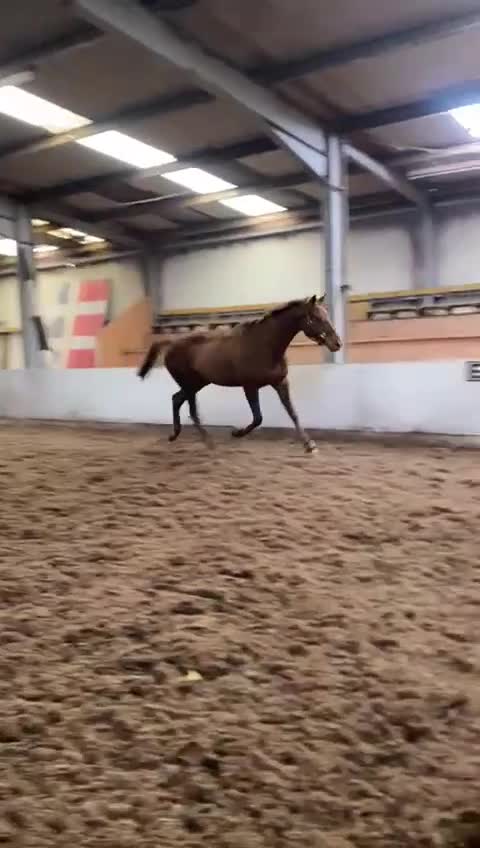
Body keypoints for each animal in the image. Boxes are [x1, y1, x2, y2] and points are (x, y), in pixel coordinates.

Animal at [137, 295, 342, 452]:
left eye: (326, 314)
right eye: (315, 317)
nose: (337, 343)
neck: (265, 346)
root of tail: (170, 343)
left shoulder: (281, 382)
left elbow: (293, 413)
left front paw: (309, 445)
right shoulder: (249, 386)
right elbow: (258, 418)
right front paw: (236, 433)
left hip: (197, 384)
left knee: (176, 399)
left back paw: (174, 435)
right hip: (190, 385)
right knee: (191, 410)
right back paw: (208, 442)